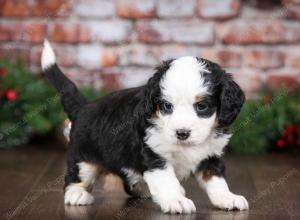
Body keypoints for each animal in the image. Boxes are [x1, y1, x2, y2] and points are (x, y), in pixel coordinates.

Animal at [42, 40, 248, 214]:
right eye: (167, 106)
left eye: (202, 106)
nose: (182, 133)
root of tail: (84, 106)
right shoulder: (154, 155)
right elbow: (166, 181)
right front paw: (175, 200)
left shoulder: (210, 156)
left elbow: (216, 180)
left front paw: (227, 198)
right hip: (82, 157)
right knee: (76, 177)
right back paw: (76, 194)